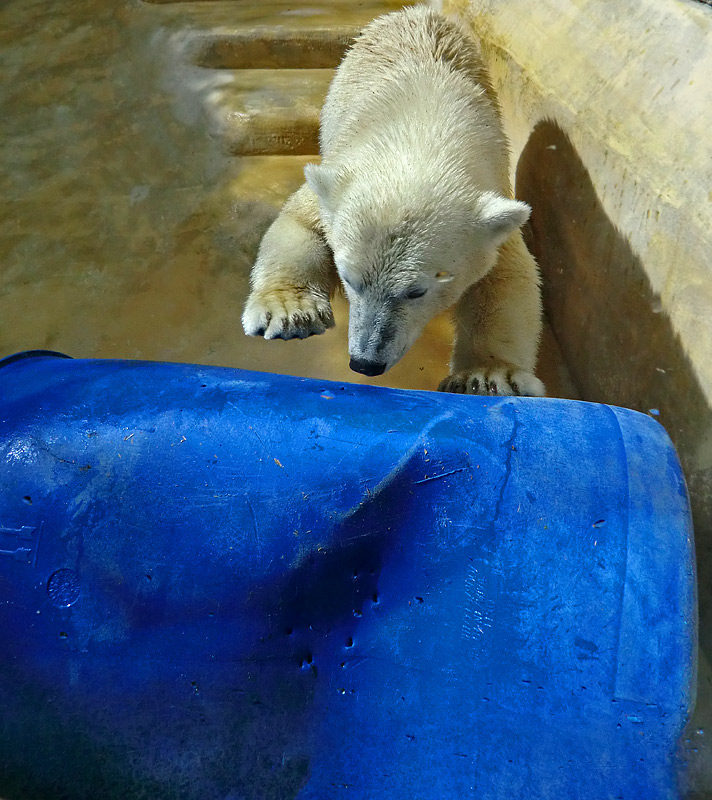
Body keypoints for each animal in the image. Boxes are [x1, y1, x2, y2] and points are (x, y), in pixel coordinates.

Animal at [241, 3, 544, 396]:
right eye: (350, 278)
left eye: (417, 291)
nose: (365, 363)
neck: (423, 128)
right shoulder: (341, 177)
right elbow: (300, 221)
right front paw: (290, 311)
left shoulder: (491, 196)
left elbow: (507, 275)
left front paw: (488, 376)